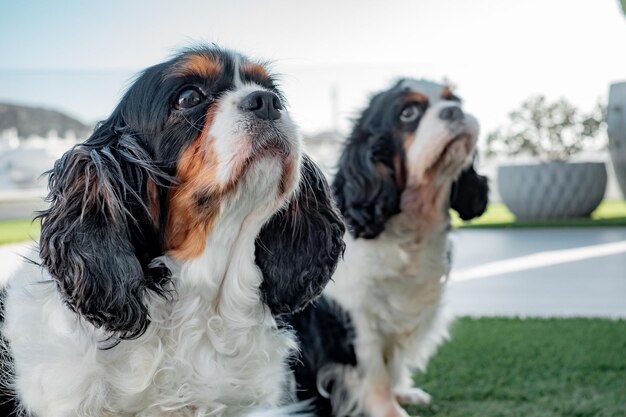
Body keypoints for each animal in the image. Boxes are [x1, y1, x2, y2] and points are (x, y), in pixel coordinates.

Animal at [288, 78, 488, 416]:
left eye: (453, 100)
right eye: (408, 113)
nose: (454, 111)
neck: (413, 226)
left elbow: (393, 365)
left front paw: (404, 392)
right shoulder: (357, 320)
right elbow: (376, 375)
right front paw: (390, 410)